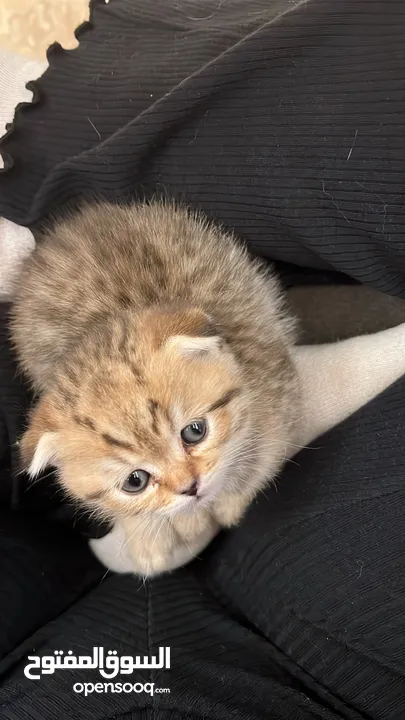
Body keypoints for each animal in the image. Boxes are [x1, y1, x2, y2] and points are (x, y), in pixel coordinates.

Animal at [11, 200, 300, 576]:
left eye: (194, 432)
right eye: (135, 481)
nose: (190, 488)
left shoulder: (279, 389)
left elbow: (263, 459)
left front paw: (229, 503)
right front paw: (155, 535)